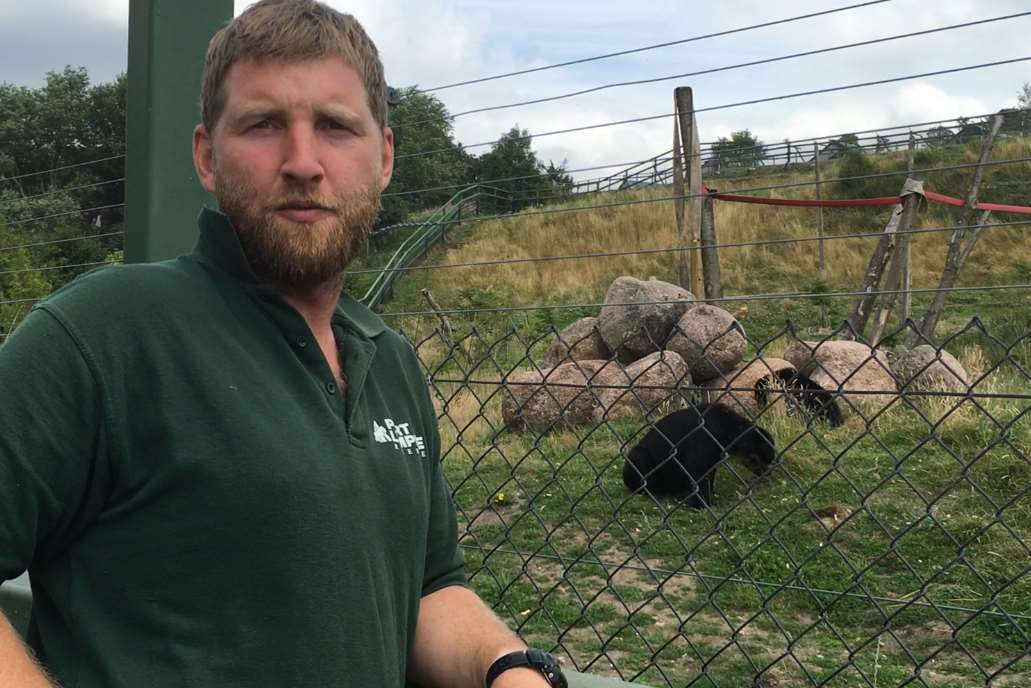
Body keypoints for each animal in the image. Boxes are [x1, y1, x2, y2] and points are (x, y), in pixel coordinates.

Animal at [622, 404, 775, 511]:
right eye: (761, 458)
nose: (768, 473)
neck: (727, 428)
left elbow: (709, 476)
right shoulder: (703, 443)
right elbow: (699, 474)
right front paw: (704, 505)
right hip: (639, 456)